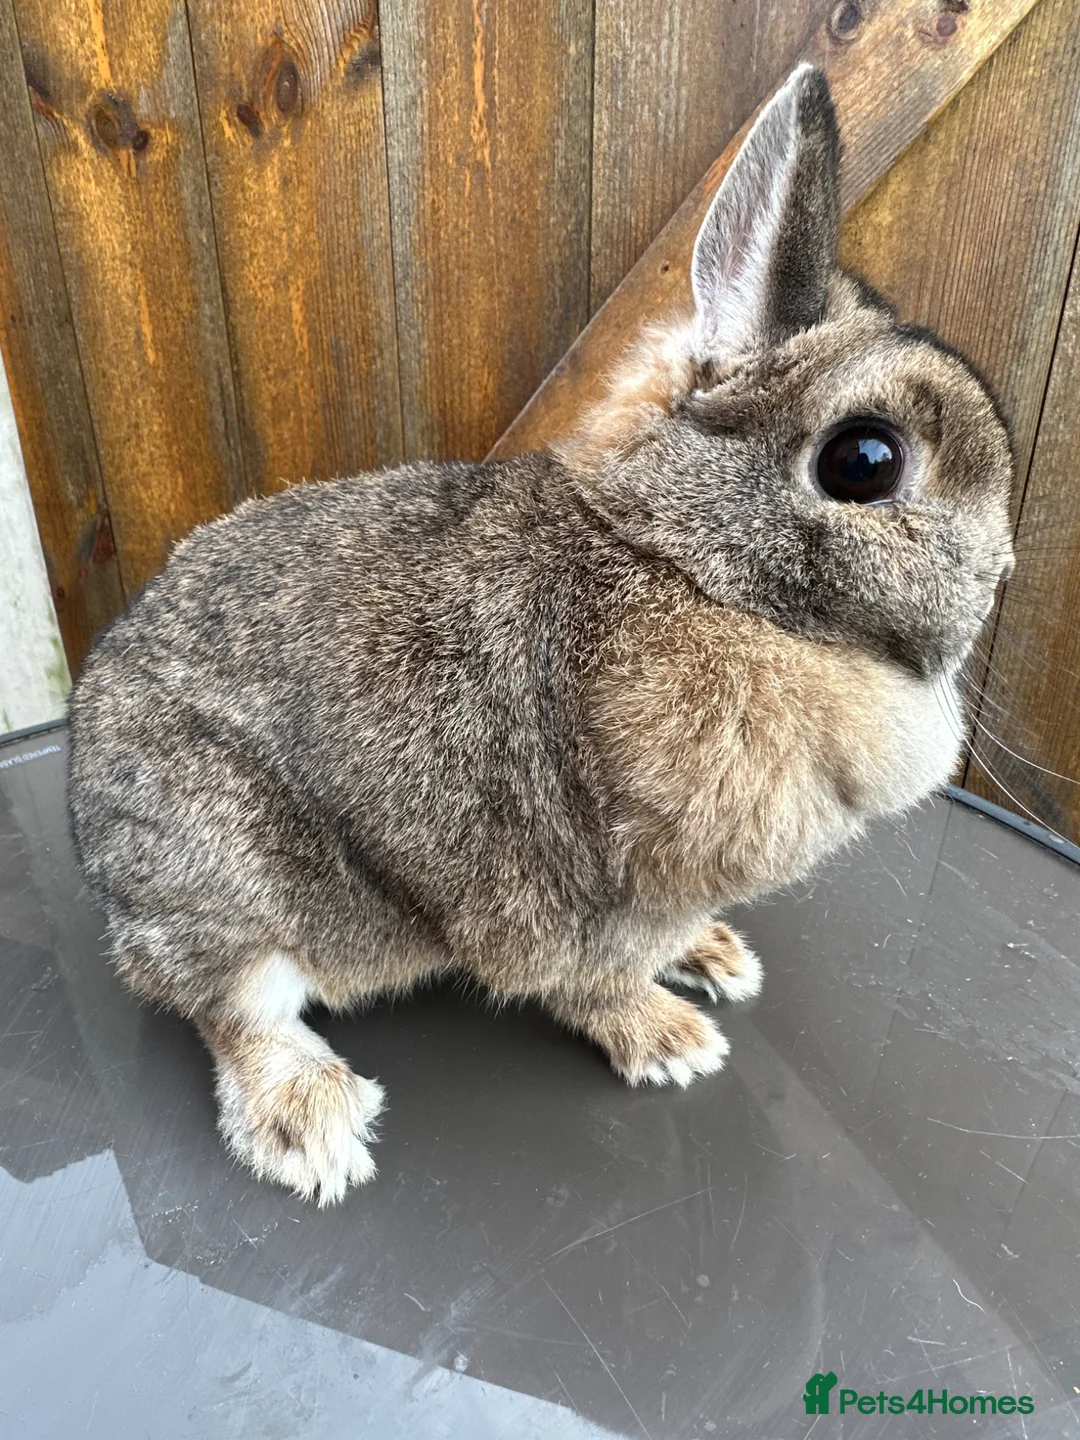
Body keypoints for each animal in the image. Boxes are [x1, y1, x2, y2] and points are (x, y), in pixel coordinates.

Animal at [68, 64, 1015, 1204]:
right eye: (865, 462)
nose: (1003, 574)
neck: (685, 565)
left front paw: (712, 962)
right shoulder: (600, 886)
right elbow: (591, 979)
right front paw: (673, 1042)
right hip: (226, 874)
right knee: (229, 1007)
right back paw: (315, 1125)